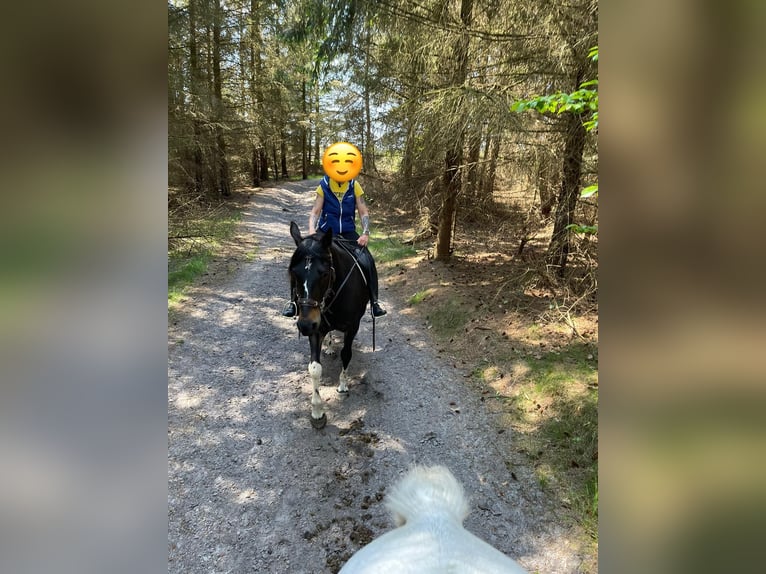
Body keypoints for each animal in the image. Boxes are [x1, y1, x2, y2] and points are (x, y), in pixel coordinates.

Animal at [287, 221, 370, 429]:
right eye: (293, 273)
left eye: (324, 274)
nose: (304, 325)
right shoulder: (316, 330)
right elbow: (315, 368)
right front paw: (317, 412)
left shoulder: (352, 326)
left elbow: (346, 354)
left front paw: (343, 385)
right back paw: (330, 346)